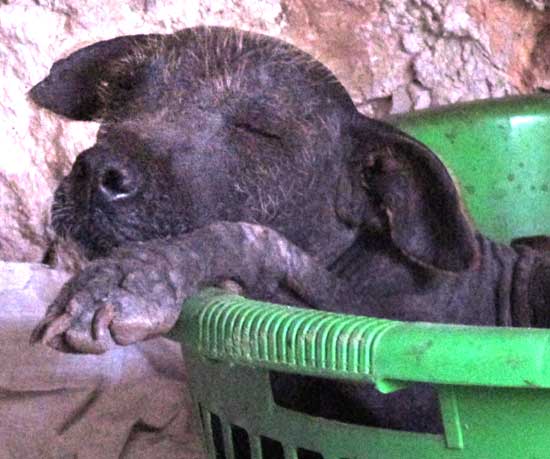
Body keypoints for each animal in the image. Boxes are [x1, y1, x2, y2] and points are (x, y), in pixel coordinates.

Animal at [29, 26, 550, 434]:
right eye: (122, 93)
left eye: (259, 130)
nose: (97, 171)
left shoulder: (414, 395)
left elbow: (254, 240)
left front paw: (129, 279)